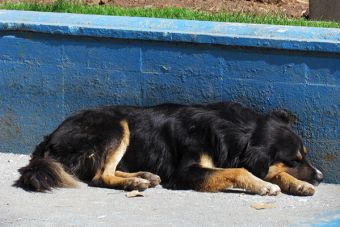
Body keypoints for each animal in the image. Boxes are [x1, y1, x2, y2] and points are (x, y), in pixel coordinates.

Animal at [14, 102, 324, 196]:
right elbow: (238, 170)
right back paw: (136, 181)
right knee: (100, 176)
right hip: (116, 124)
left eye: (303, 157)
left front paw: (297, 184)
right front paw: (264, 185)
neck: (234, 132)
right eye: (294, 159)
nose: (321, 177)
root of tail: (49, 138)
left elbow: (269, 171)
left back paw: (143, 177)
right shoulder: (185, 172)